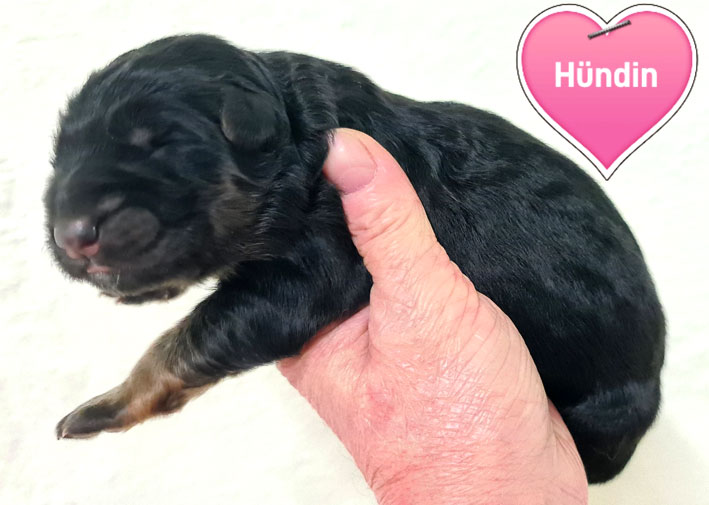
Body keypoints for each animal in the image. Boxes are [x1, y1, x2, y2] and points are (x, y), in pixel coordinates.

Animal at [46, 34, 665, 483]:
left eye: (158, 142)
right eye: (59, 157)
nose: (71, 234)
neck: (298, 128)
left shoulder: (314, 263)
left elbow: (185, 340)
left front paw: (102, 406)